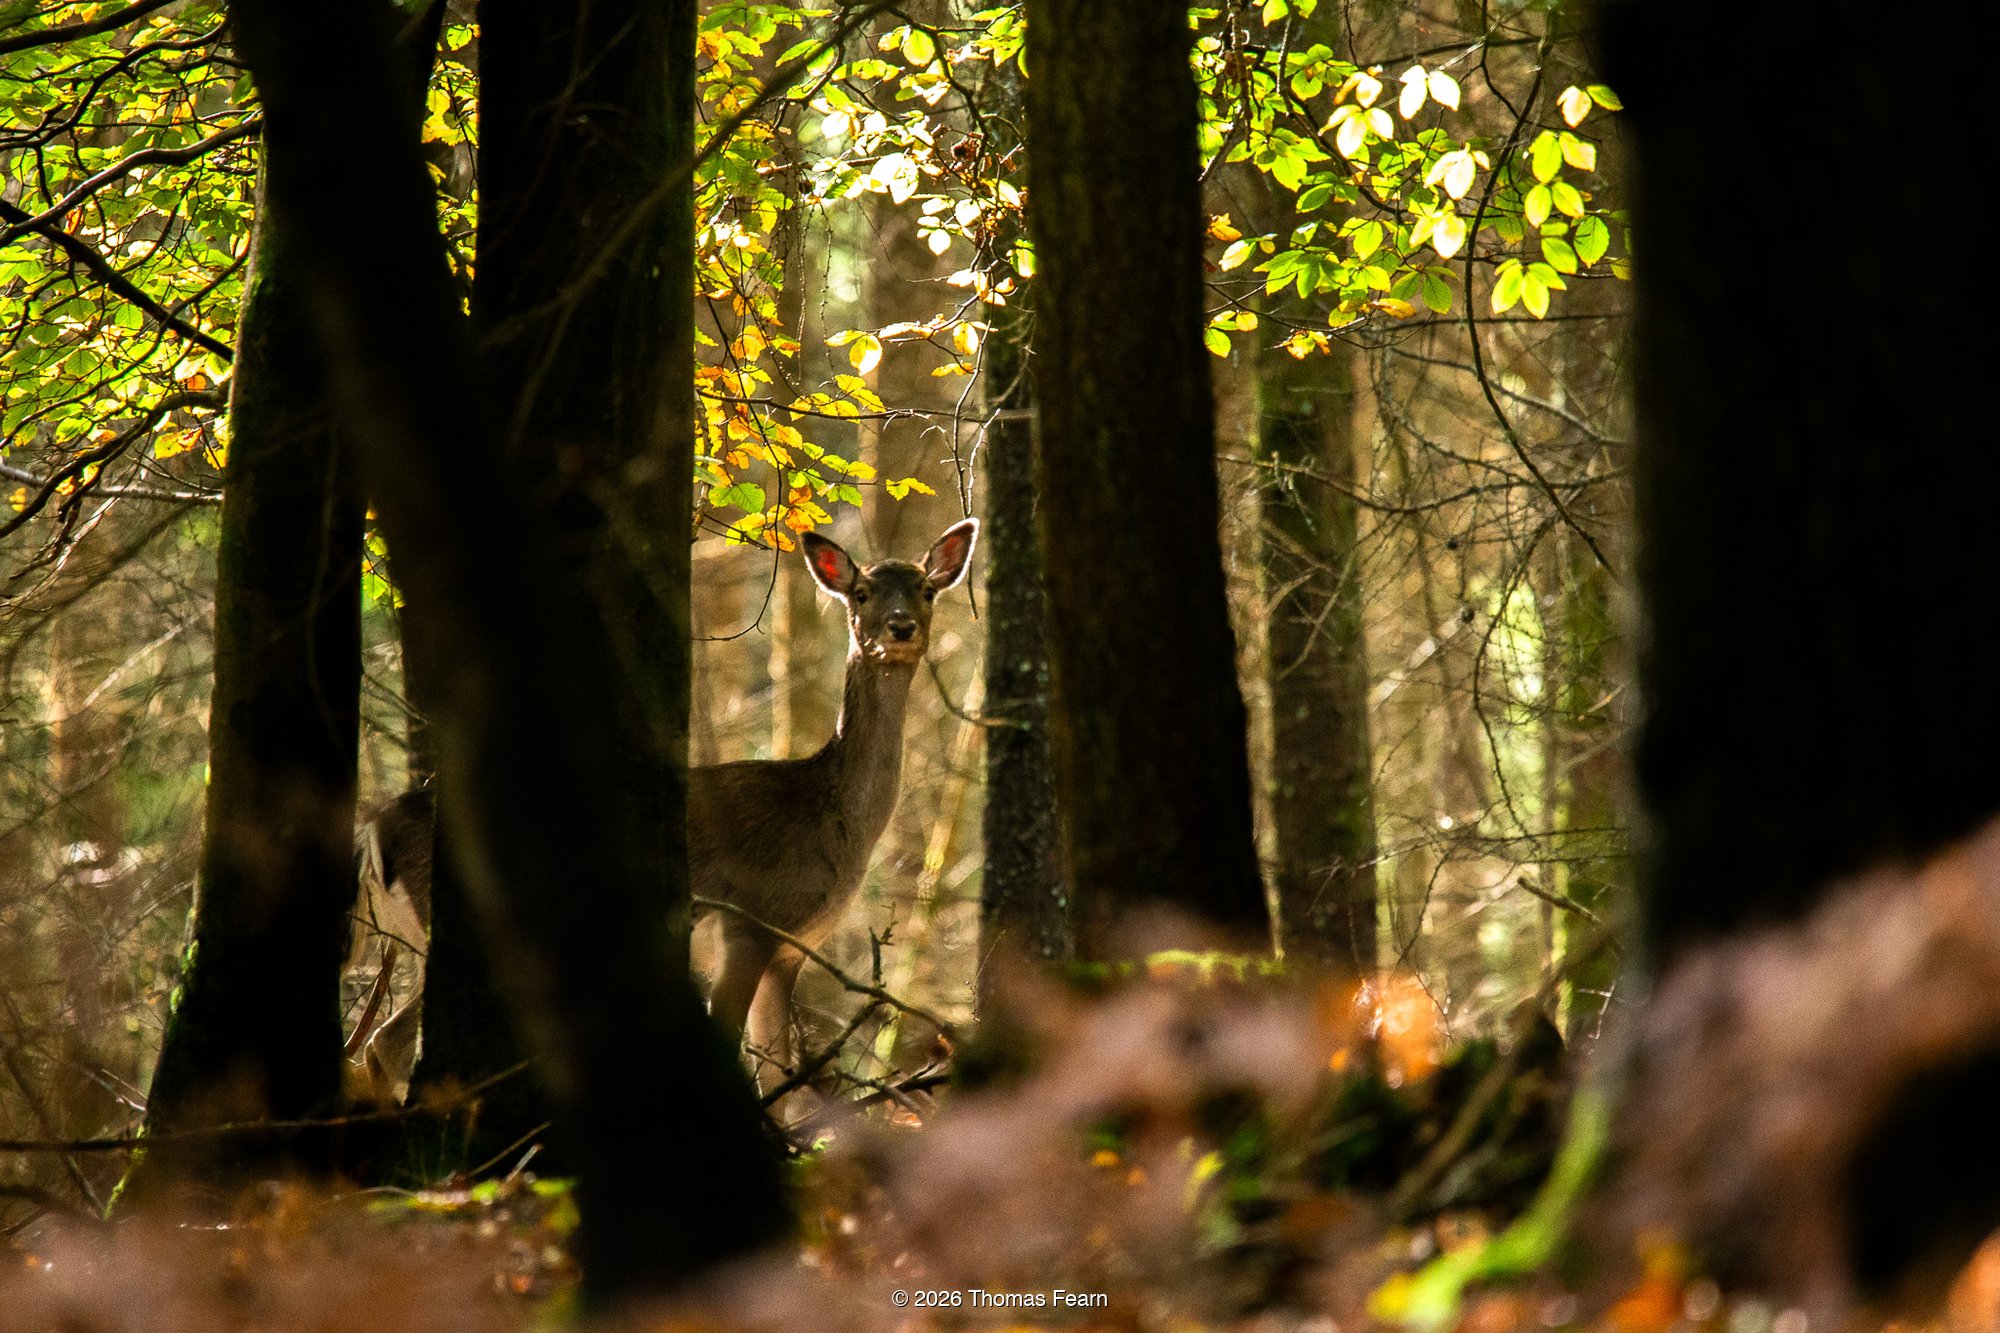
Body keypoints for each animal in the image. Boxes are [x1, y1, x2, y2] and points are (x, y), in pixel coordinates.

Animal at [347, 518, 978, 1099]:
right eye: (863, 592)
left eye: (926, 588)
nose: (900, 626)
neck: (830, 815)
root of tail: (376, 825)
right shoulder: (748, 920)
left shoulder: (790, 950)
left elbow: (780, 1076)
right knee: (389, 1041)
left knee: (378, 1042)